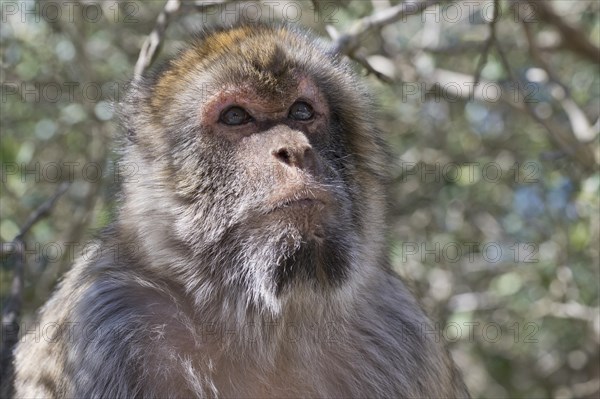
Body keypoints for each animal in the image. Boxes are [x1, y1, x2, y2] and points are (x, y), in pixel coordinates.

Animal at [10, 23, 468, 398]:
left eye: (302, 111)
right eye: (235, 116)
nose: (295, 150)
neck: (266, 325)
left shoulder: (400, 334)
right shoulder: (102, 326)